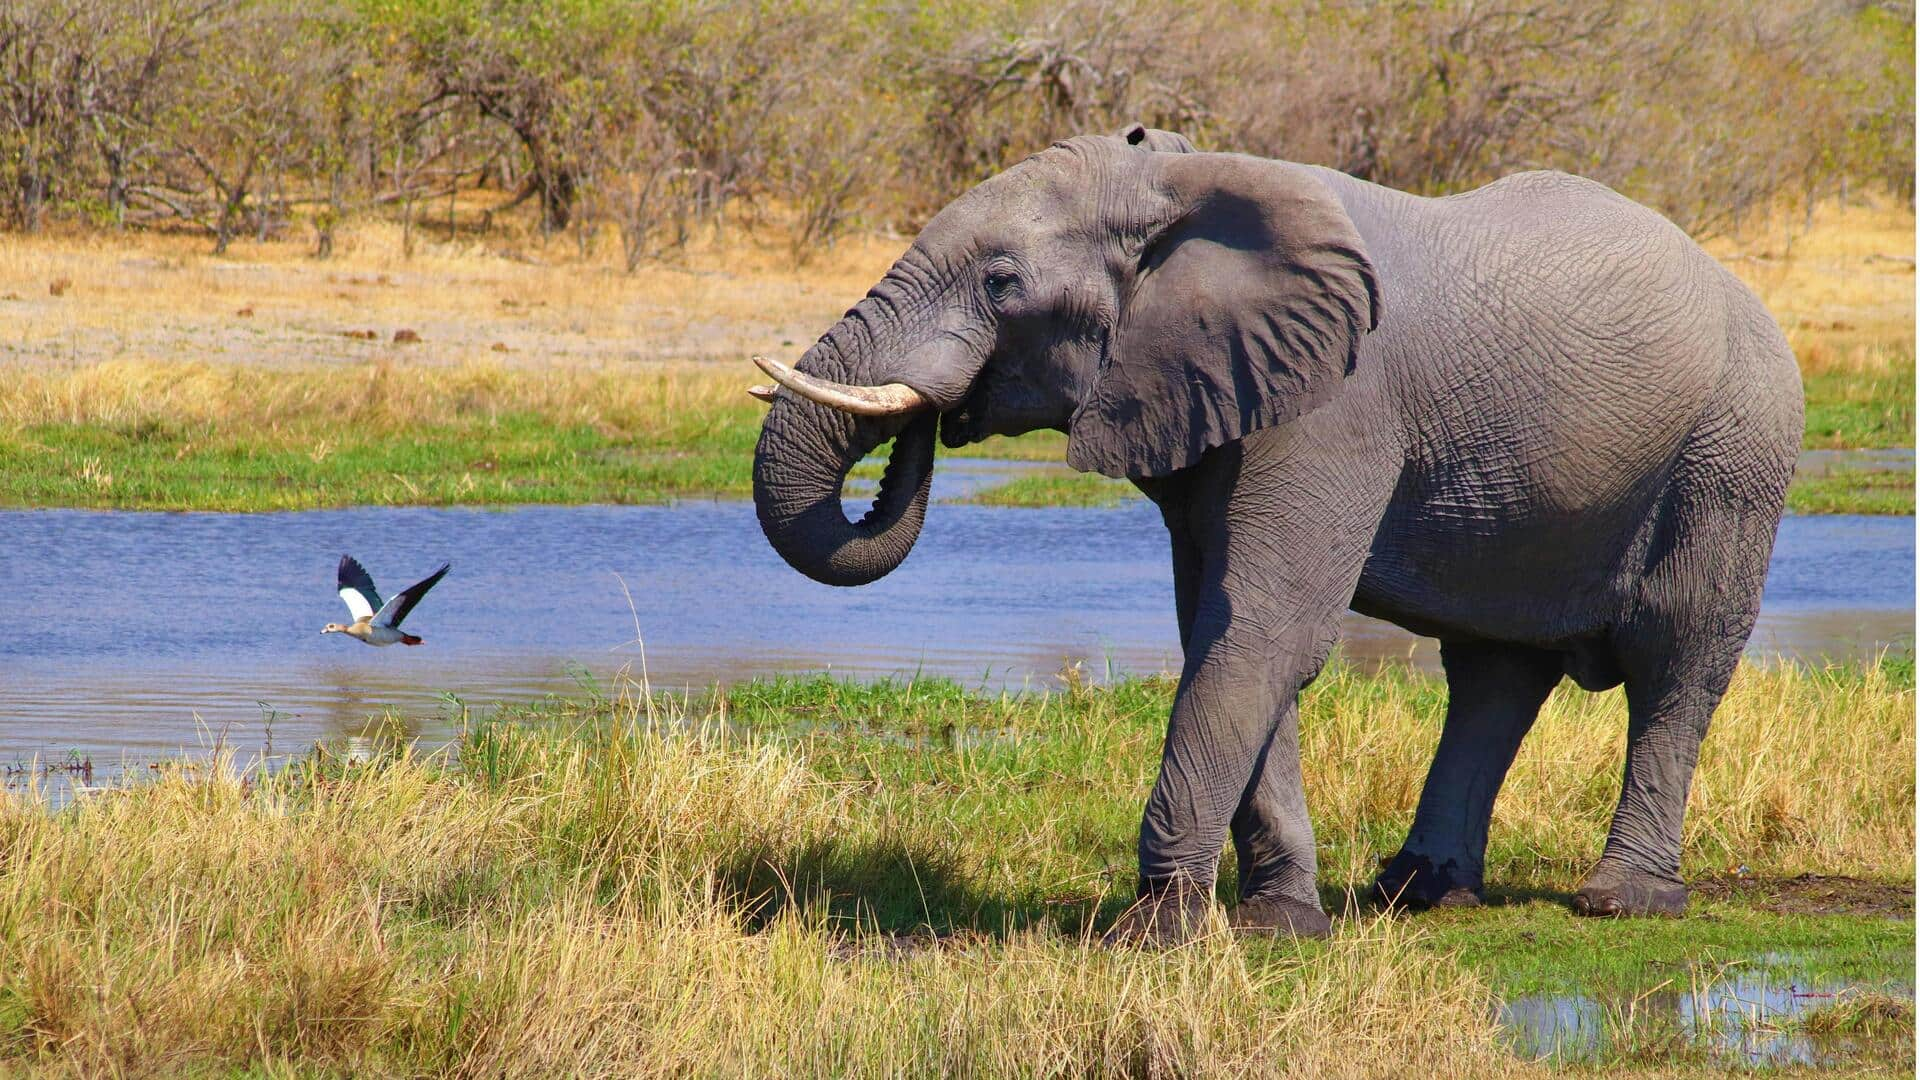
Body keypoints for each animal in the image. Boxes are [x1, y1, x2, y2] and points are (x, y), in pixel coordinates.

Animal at [744, 122, 1797, 937]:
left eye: (1002, 282)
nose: (931, 419)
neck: (1184, 180)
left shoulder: (1336, 407)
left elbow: (1261, 629)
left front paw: (1157, 934)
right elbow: (1224, 626)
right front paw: (1278, 922)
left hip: (1734, 456)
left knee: (1677, 660)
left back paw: (1625, 902)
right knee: (1495, 672)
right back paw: (1416, 894)